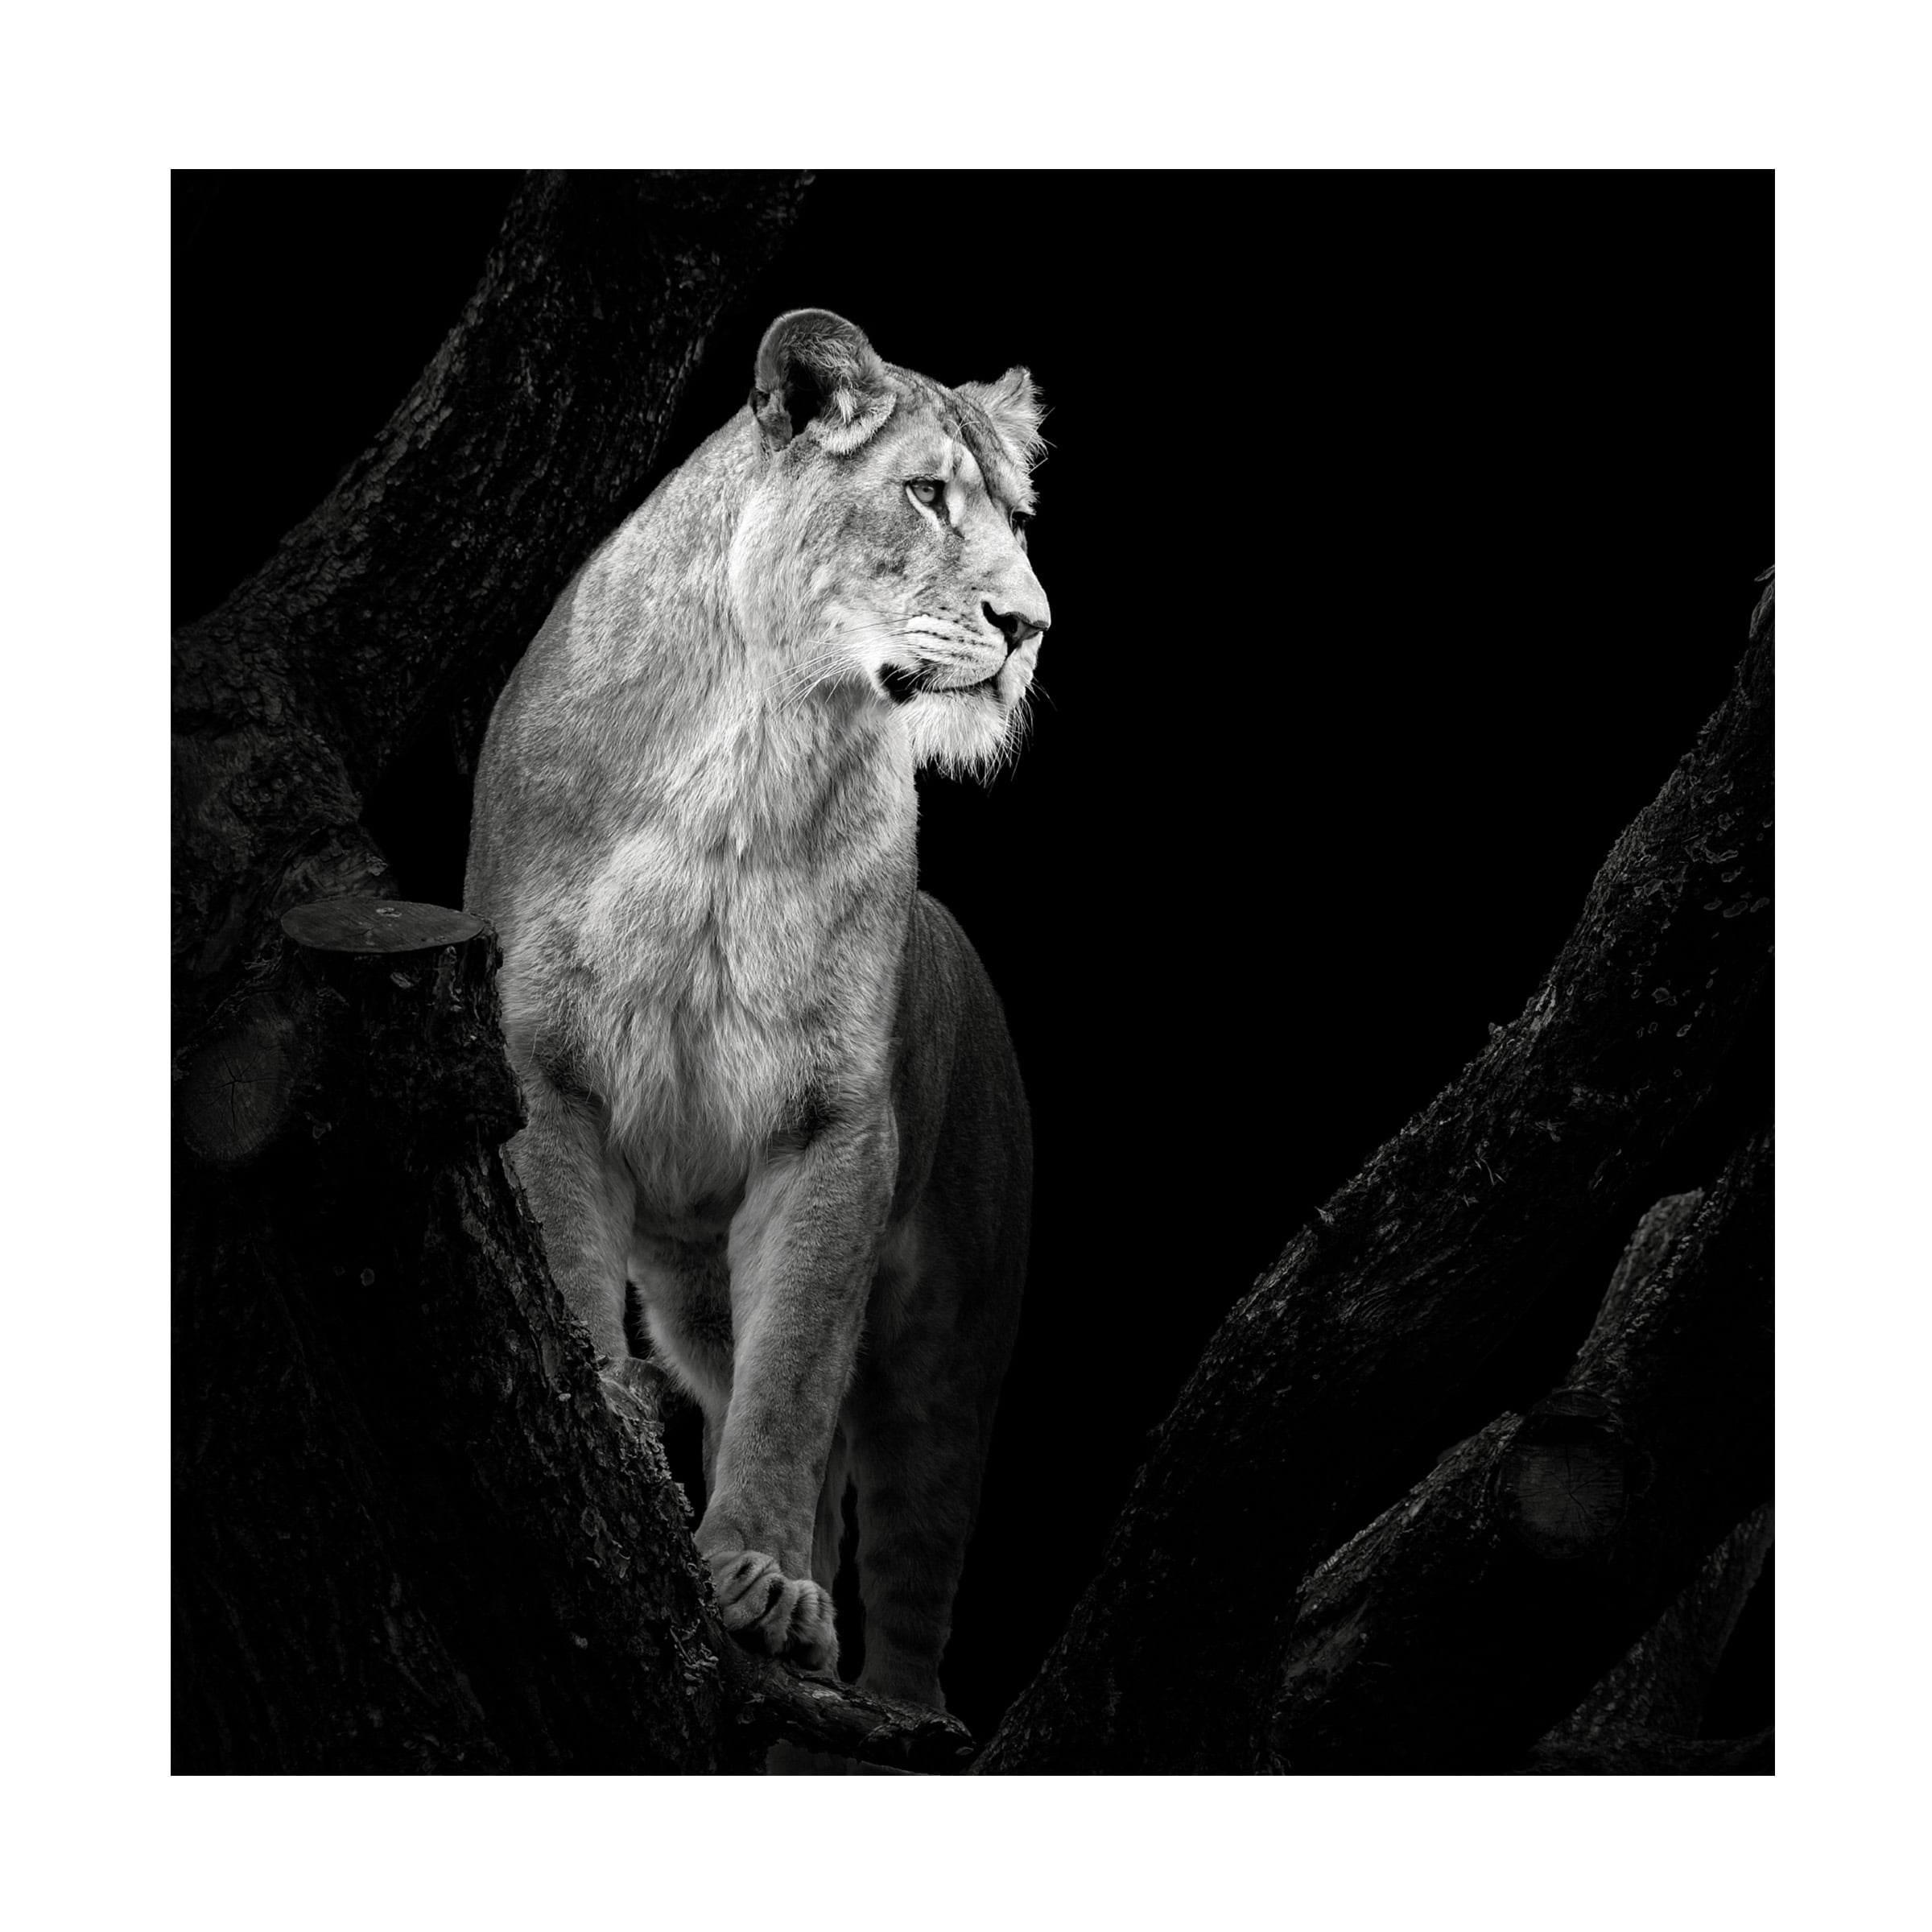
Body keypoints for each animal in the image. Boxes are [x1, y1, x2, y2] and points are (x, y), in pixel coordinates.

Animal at [464, 308, 1049, 1711]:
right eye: (925, 494)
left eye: (1017, 514)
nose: (1031, 625)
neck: (760, 745)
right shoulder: (545, 1064)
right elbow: (574, 1277)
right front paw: (616, 1441)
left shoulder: (833, 1126)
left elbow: (795, 1384)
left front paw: (767, 1585)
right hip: (693, 1293)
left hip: (960, 1336)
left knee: (912, 1554)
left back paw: (888, 1708)